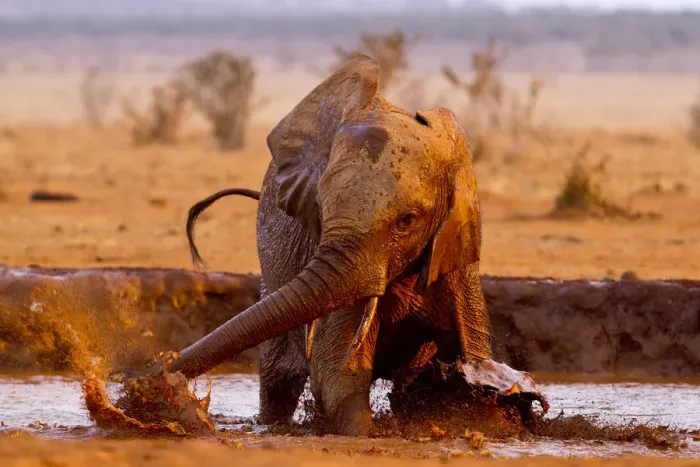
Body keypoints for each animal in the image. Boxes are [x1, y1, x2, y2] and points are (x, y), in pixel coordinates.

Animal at [158, 54, 492, 436]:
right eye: (318, 207)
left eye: (408, 220)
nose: (164, 366)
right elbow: (335, 374)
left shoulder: (454, 257)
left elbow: (474, 357)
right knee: (277, 381)